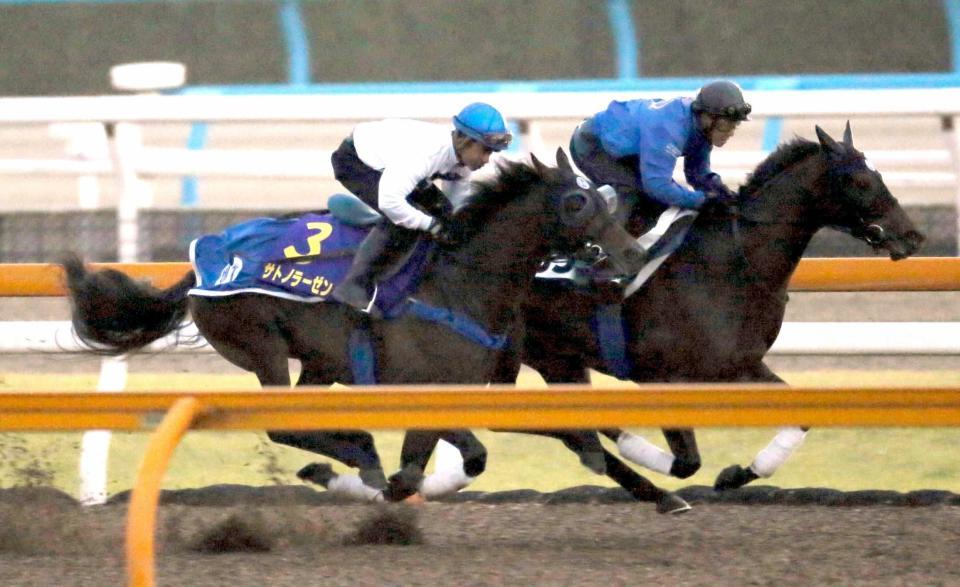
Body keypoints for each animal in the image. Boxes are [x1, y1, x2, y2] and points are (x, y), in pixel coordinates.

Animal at [62, 152, 684, 510]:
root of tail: (204, 259)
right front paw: (379, 481)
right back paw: (353, 453)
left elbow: (460, 457)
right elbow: (452, 459)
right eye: (577, 201)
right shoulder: (421, 388)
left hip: (319, 362)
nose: (632, 255)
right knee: (281, 422)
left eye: (602, 196)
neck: (459, 280)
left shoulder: (469, 392)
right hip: (261, 344)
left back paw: (348, 457)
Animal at [492, 123, 928, 492]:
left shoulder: (740, 365)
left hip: (557, 359)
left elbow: (801, 418)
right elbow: (687, 462)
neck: (733, 262)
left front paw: (737, 475)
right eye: (861, 181)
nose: (912, 236)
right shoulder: (661, 377)